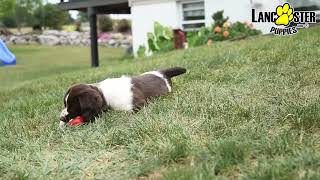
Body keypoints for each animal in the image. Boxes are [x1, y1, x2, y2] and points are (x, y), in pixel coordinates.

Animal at [59, 66, 188, 126]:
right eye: (65, 104)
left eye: (72, 107)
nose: (61, 118)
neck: (103, 94)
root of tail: (162, 73)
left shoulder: (137, 104)